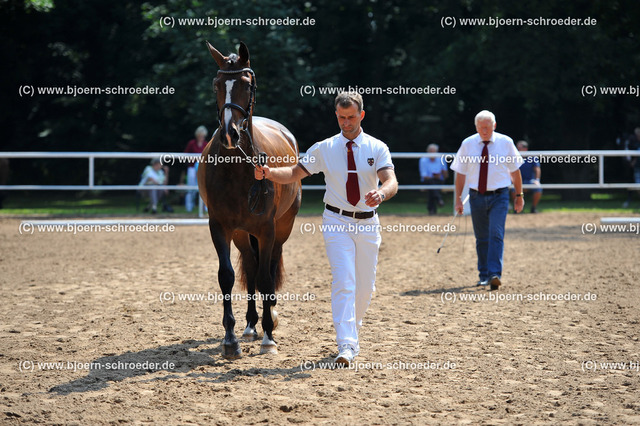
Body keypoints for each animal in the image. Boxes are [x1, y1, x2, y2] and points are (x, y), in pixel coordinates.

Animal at [199, 41, 302, 358]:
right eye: (217, 85)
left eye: (247, 84)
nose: (230, 134)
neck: (236, 168)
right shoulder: (219, 227)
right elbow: (227, 276)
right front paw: (230, 339)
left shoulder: (267, 229)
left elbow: (267, 278)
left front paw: (269, 336)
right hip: (242, 235)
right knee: (252, 266)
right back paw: (250, 324)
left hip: (282, 228)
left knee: (269, 267)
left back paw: (270, 318)